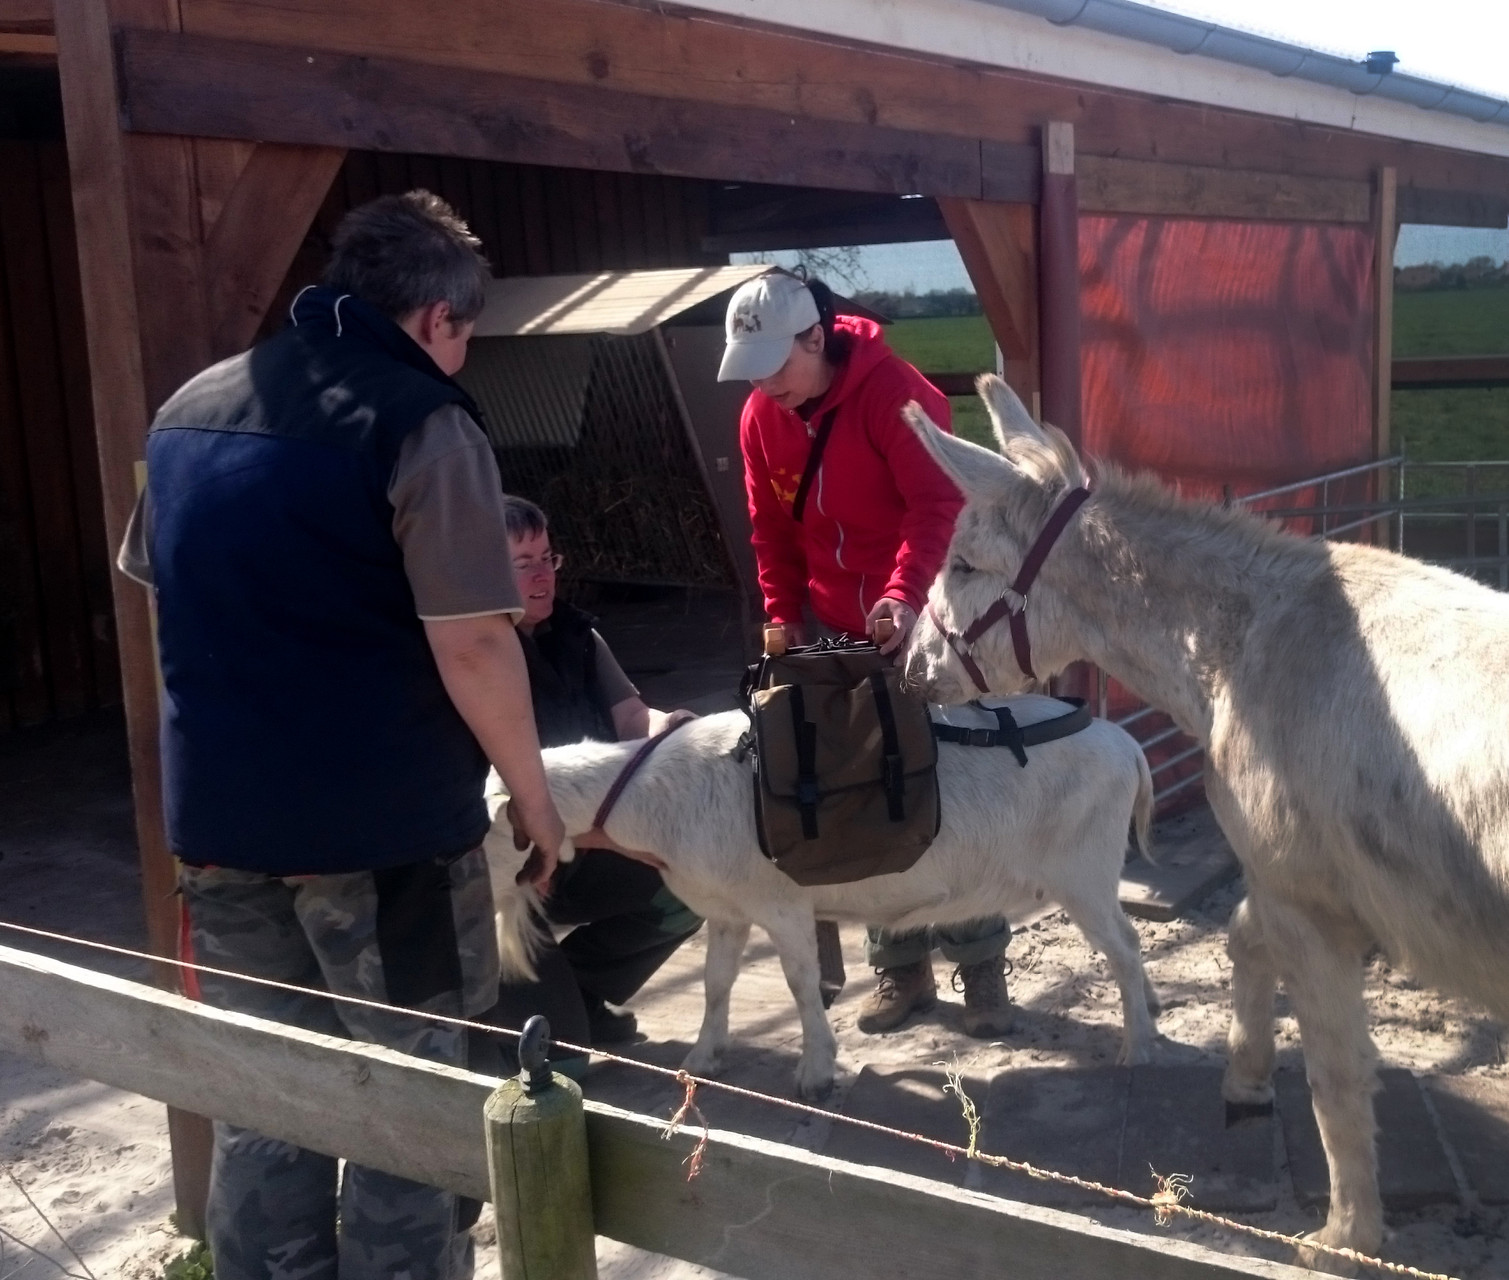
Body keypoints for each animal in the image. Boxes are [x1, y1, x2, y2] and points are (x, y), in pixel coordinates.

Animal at [482, 700, 1152, 1098]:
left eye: (481, 836)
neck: (655, 798)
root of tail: (1128, 744)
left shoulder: (782, 906)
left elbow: (801, 985)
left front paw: (815, 1072)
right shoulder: (726, 911)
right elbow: (715, 983)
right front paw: (702, 1058)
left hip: (1083, 869)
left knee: (1121, 948)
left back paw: (1135, 1048)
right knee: (1131, 942)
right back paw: (1148, 1013)